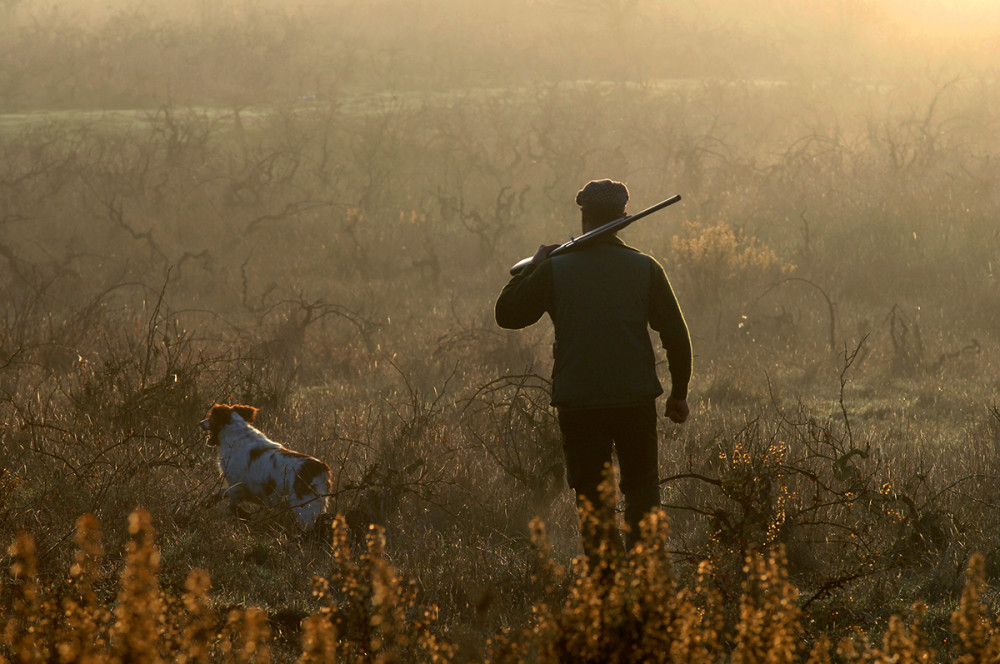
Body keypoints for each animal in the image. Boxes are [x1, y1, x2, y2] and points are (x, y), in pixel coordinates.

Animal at [200, 402, 332, 528]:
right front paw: (207, 503)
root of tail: (321, 468)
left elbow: (231, 505)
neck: (237, 435)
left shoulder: (238, 486)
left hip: (305, 508)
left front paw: (244, 515)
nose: (200, 422)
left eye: (211, 417)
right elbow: (220, 494)